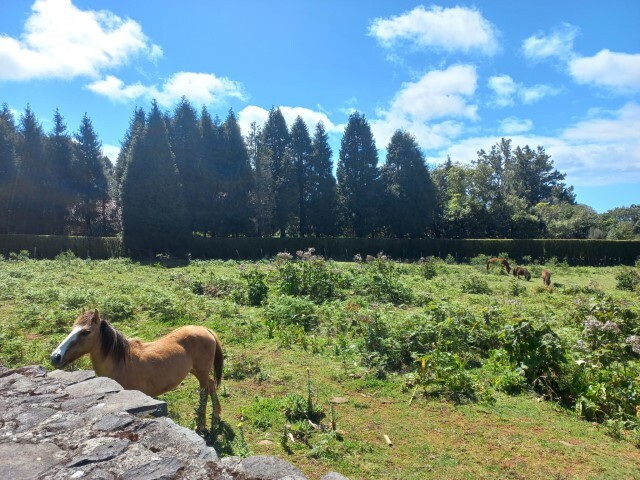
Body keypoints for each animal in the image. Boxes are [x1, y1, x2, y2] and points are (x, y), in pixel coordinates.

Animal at [51, 312, 224, 432]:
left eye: (85, 332)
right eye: (73, 328)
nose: (55, 357)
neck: (121, 362)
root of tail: (204, 329)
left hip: (201, 372)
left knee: (204, 392)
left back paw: (201, 426)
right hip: (196, 371)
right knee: (210, 385)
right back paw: (216, 416)